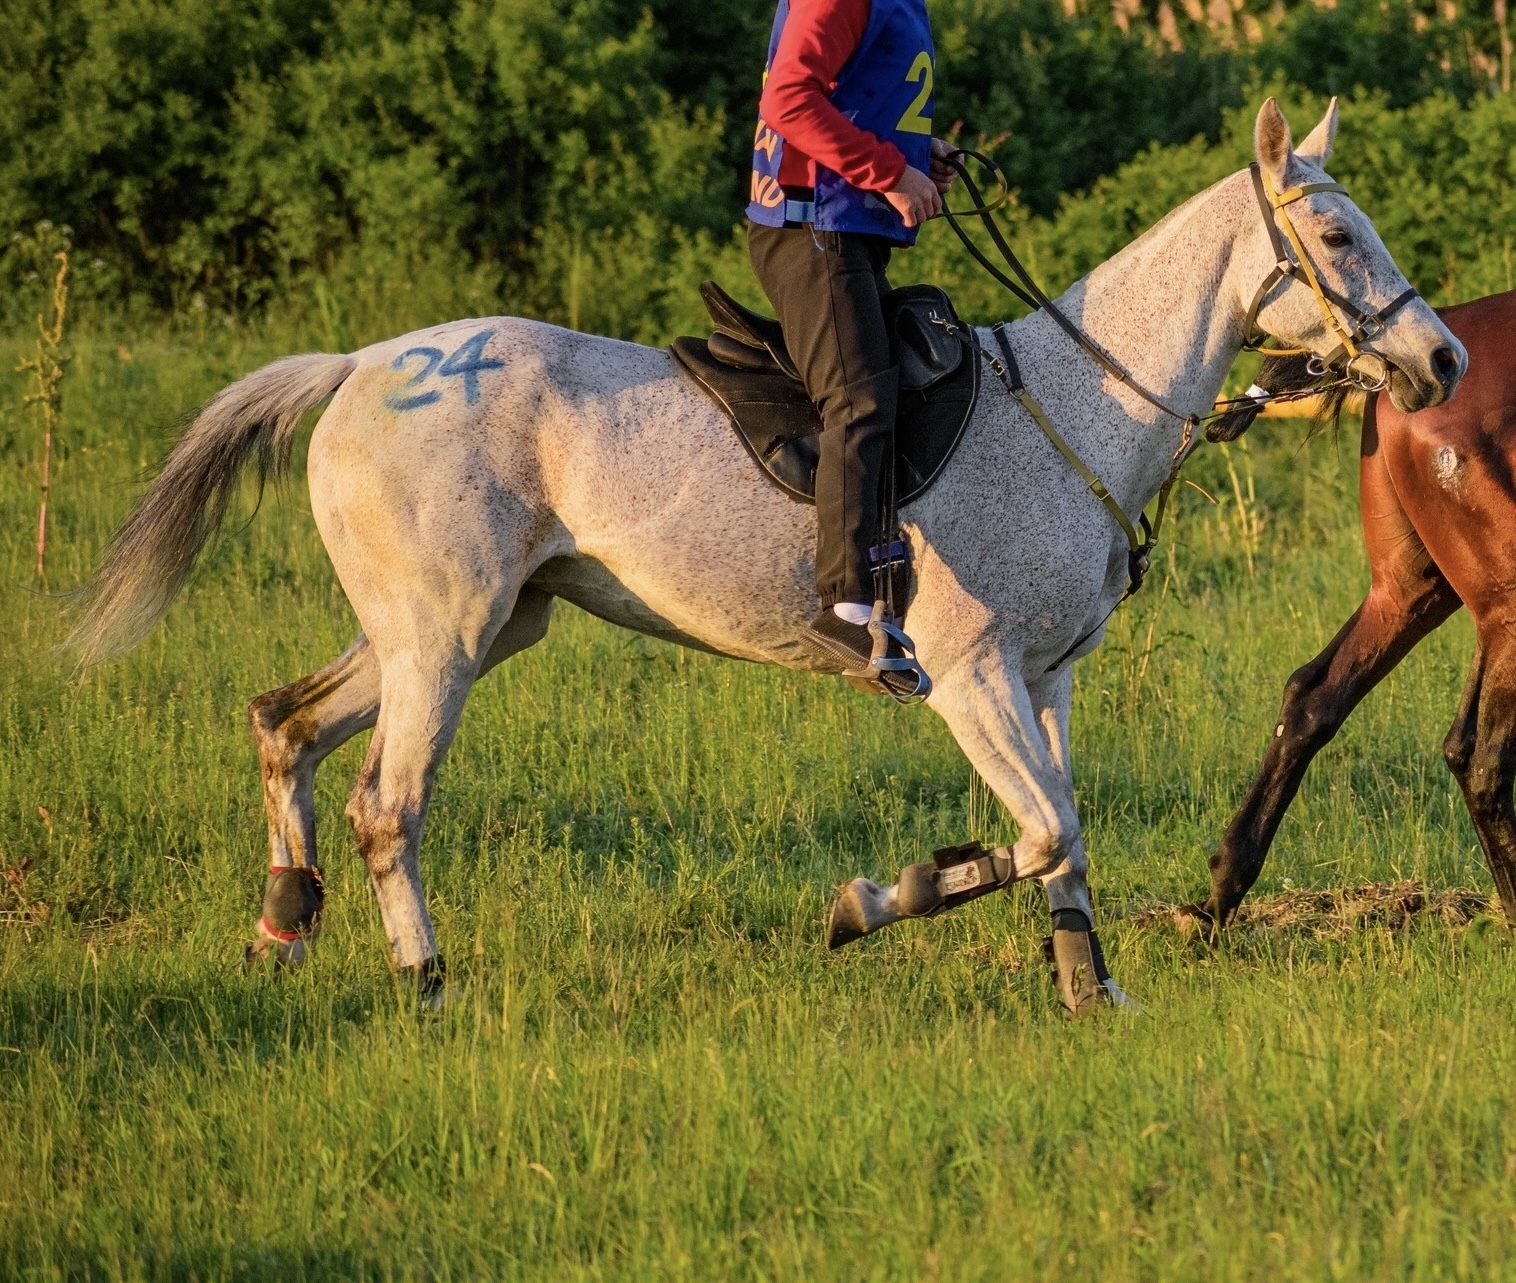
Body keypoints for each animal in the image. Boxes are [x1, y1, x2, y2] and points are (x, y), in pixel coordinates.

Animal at [73, 103, 1467, 1013]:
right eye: (1339, 241)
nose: (1443, 359)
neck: (1079, 398)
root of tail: (360, 366)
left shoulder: (1047, 678)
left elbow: (1065, 836)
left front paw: (1088, 989)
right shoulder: (969, 675)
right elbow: (1039, 830)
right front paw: (879, 898)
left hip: (468, 626)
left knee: (284, 723)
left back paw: (280, 930)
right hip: (446, 638)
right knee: (385, 802)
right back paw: (423, 978)